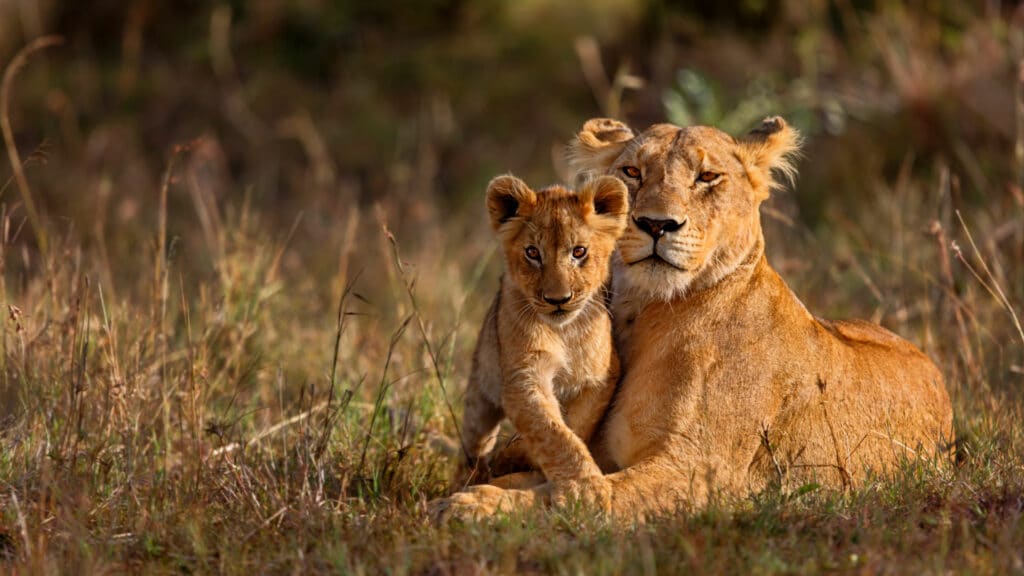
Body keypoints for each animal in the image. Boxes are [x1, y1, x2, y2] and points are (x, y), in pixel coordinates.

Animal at [455, 174, 629, 504]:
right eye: (533, 253)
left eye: (579, 252)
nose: (558, 299)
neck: (564, 332)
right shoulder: (523, 377)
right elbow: (552, 432)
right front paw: (585, 488)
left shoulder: (601, 377)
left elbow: (574, 426)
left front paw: (517, 456)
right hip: (479, 395)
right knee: (473, 445)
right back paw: (467, 477)